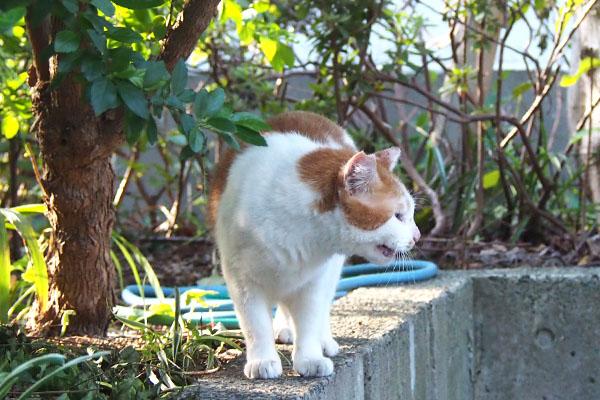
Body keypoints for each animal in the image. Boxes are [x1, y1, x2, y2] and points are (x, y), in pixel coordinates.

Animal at [209, 111, 420, 380]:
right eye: (398, 216)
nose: (417, 236)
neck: (297, 229)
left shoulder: (314, 280)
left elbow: (309, 320)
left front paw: (309, 358)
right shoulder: (241, 279)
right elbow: (255, 325)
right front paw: (262, 359)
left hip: (330, 271)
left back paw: (323, 341)